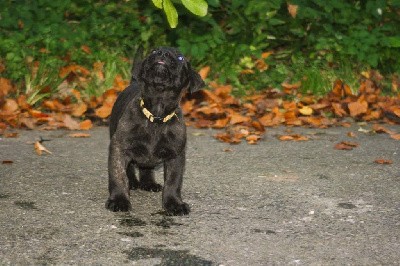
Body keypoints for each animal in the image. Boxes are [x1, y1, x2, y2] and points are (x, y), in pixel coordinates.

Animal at [104, 46, 205, 215]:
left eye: (180, 58)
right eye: (153, 51)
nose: (162, 53)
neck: (157, 114)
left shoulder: (175, 156)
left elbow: (173, 182)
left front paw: (174, 203)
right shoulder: (119, 148)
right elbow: (118, 175)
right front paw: (119, 199)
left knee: (147, 167)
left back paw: (148, 183)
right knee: (130, 168)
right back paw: (133, 182)